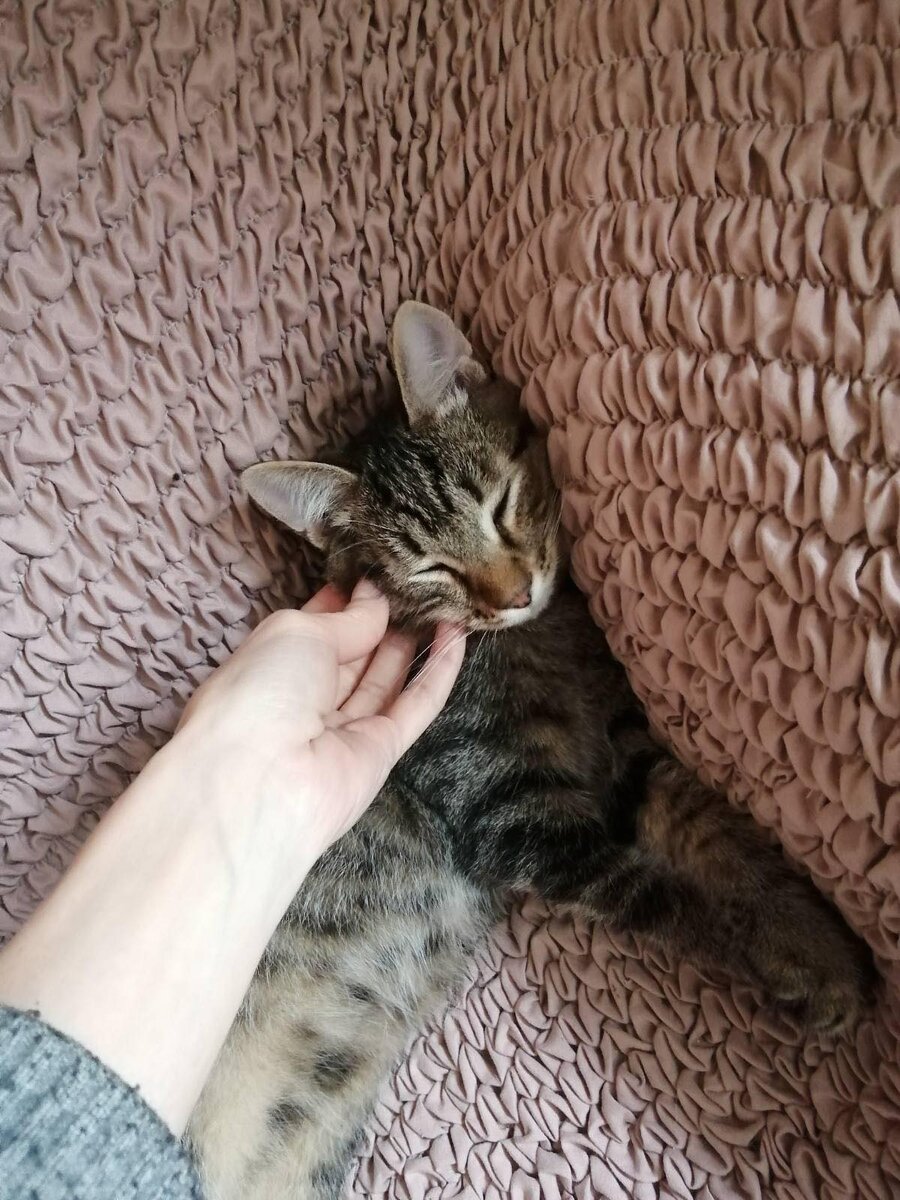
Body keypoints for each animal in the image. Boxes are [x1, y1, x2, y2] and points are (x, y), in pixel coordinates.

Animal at [186, 301, 874, 1200]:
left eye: (501, 503)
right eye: (431, 569)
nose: (514, 594)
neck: (535, 644)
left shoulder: (624, 747)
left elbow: (718, 834)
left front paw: (811, 939)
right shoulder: (518, 818)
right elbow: (665, 894)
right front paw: (786, 963)